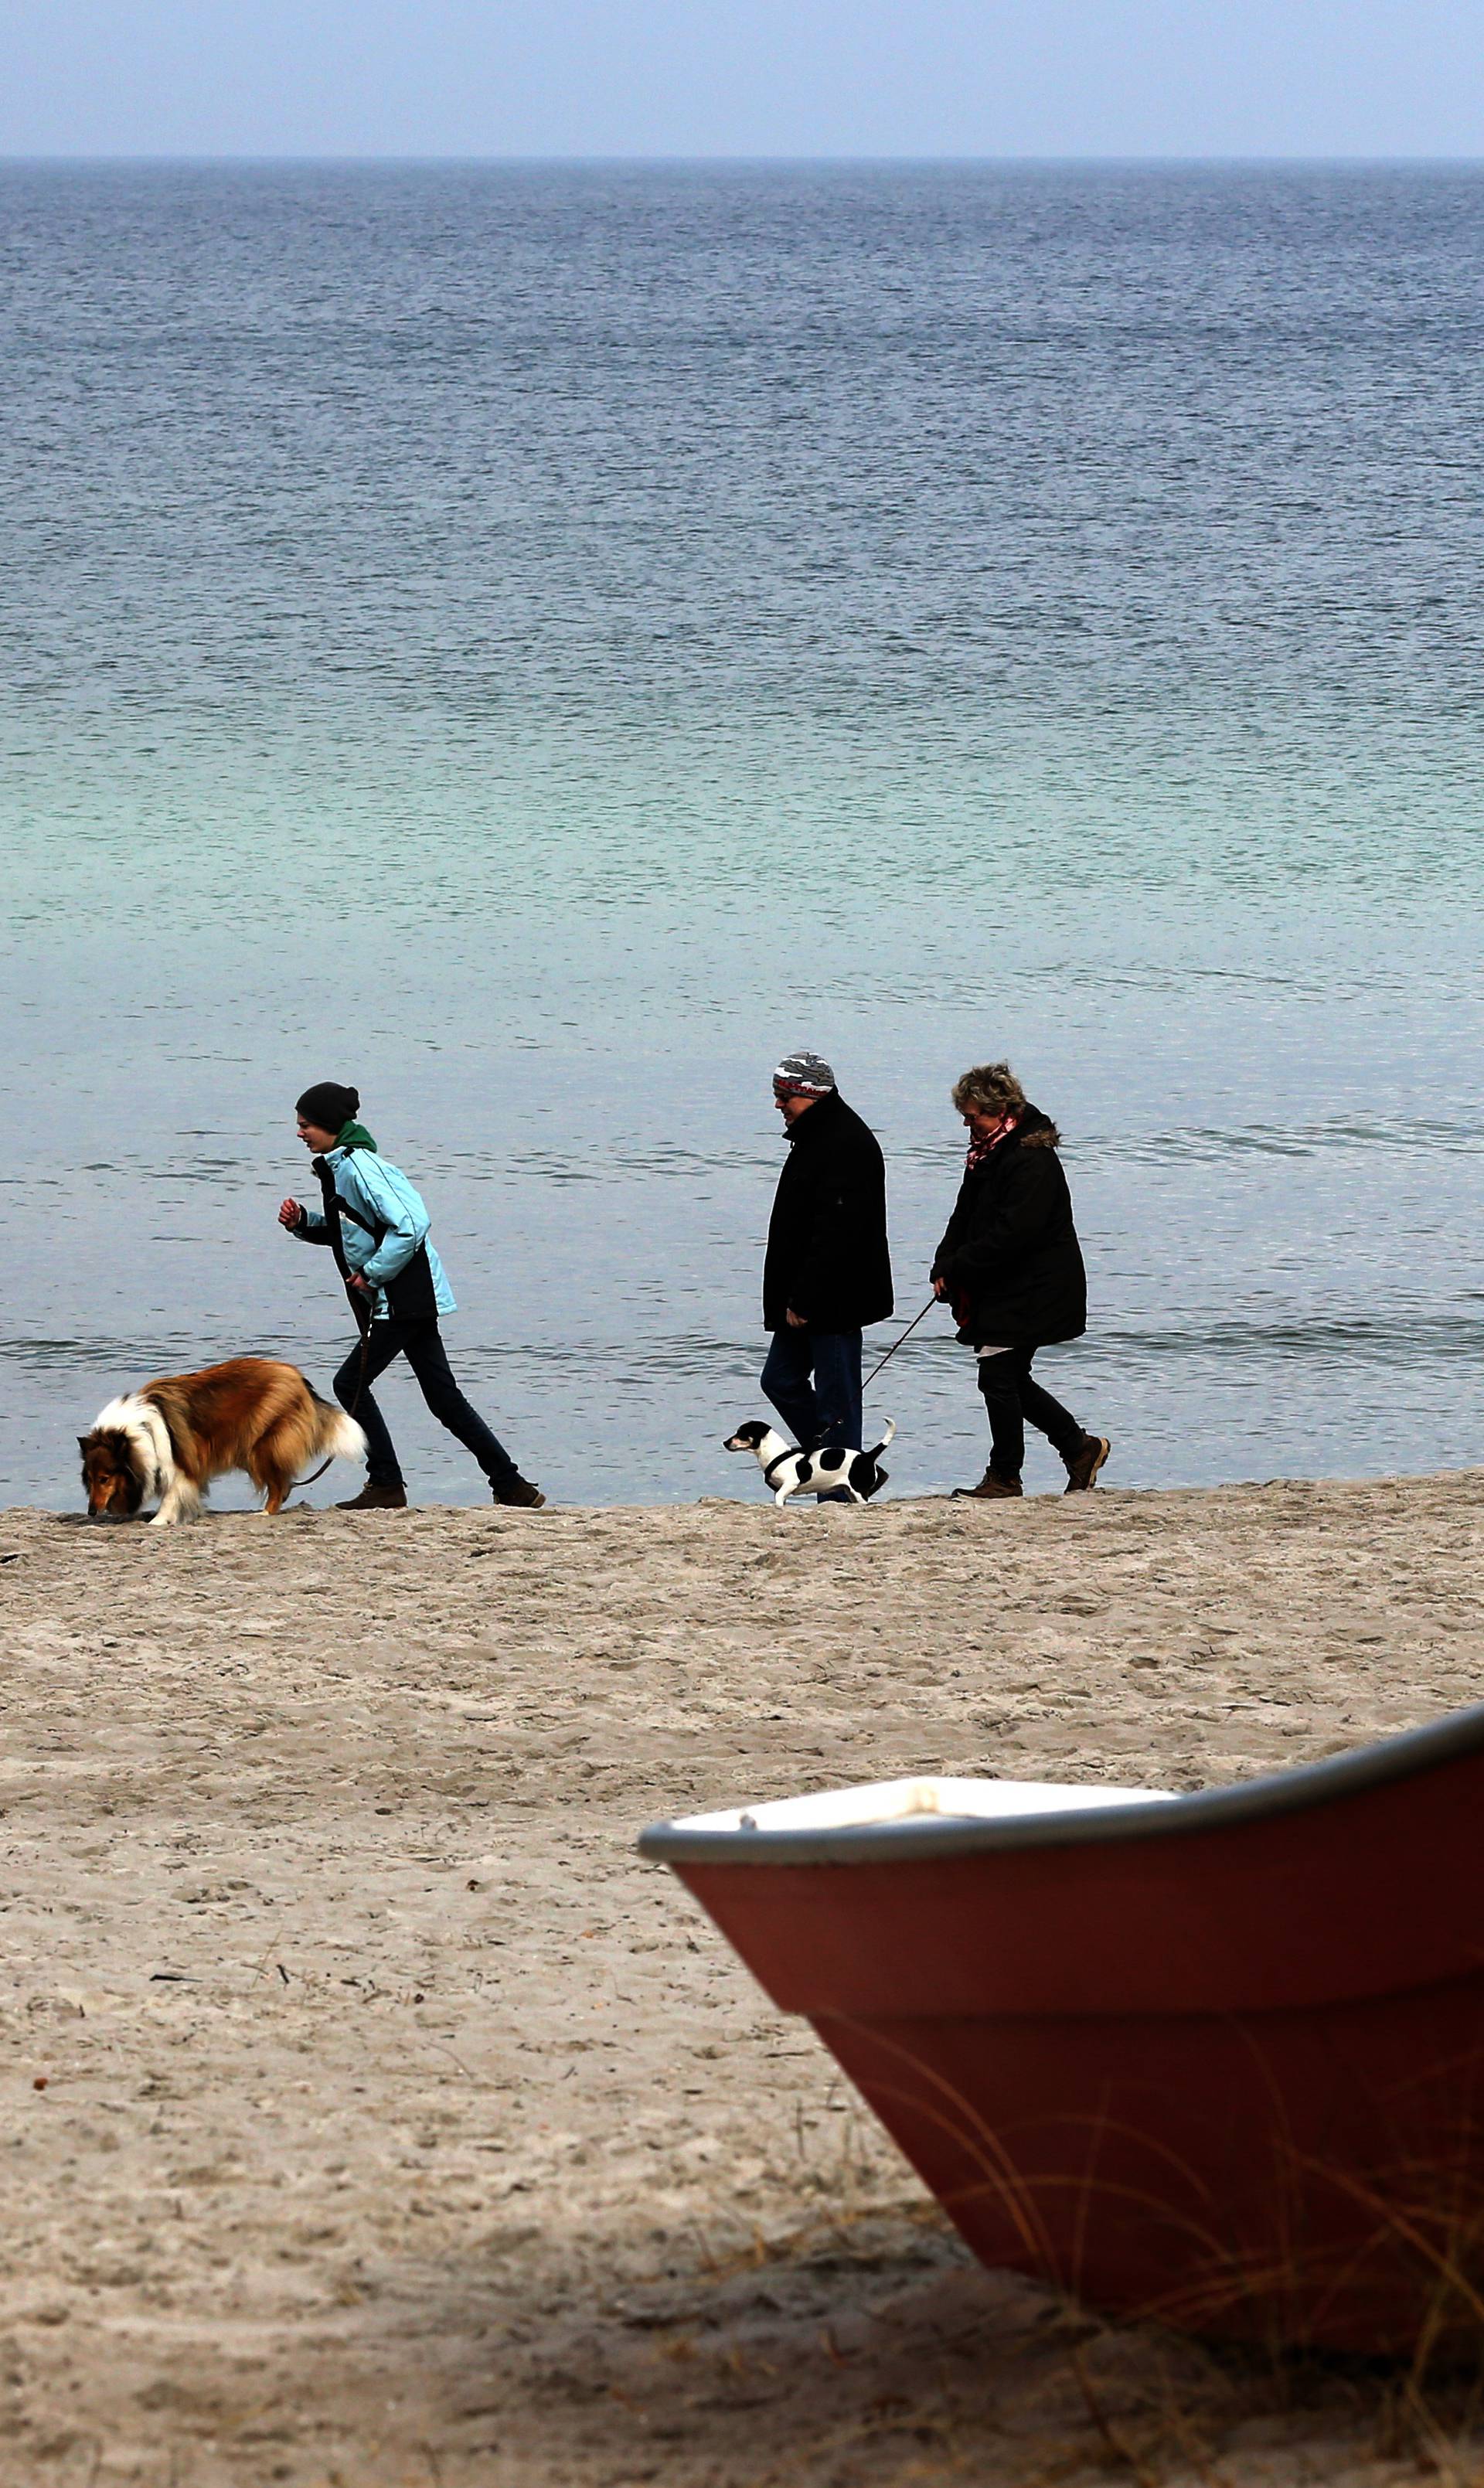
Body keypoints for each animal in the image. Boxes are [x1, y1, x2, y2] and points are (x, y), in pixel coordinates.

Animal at [78, 1353, 366, 1523]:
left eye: (105, 1479)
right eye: (90, 1478)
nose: (91, 1511)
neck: (139, 1432)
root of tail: (297, 1376)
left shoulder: (179, 1464)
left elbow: (172, 1495)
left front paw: (159, 1521)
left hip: (262, 1446)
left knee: (278, 1484)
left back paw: (265, 1513)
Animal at [722, 1413, 891, 1503]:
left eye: (741, 1434)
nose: (724, 1443)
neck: (776, 1454)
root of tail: (868, 1456)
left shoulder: (790, 1484)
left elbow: (778, 1499)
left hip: (858, 1491)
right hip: (850, 1492)